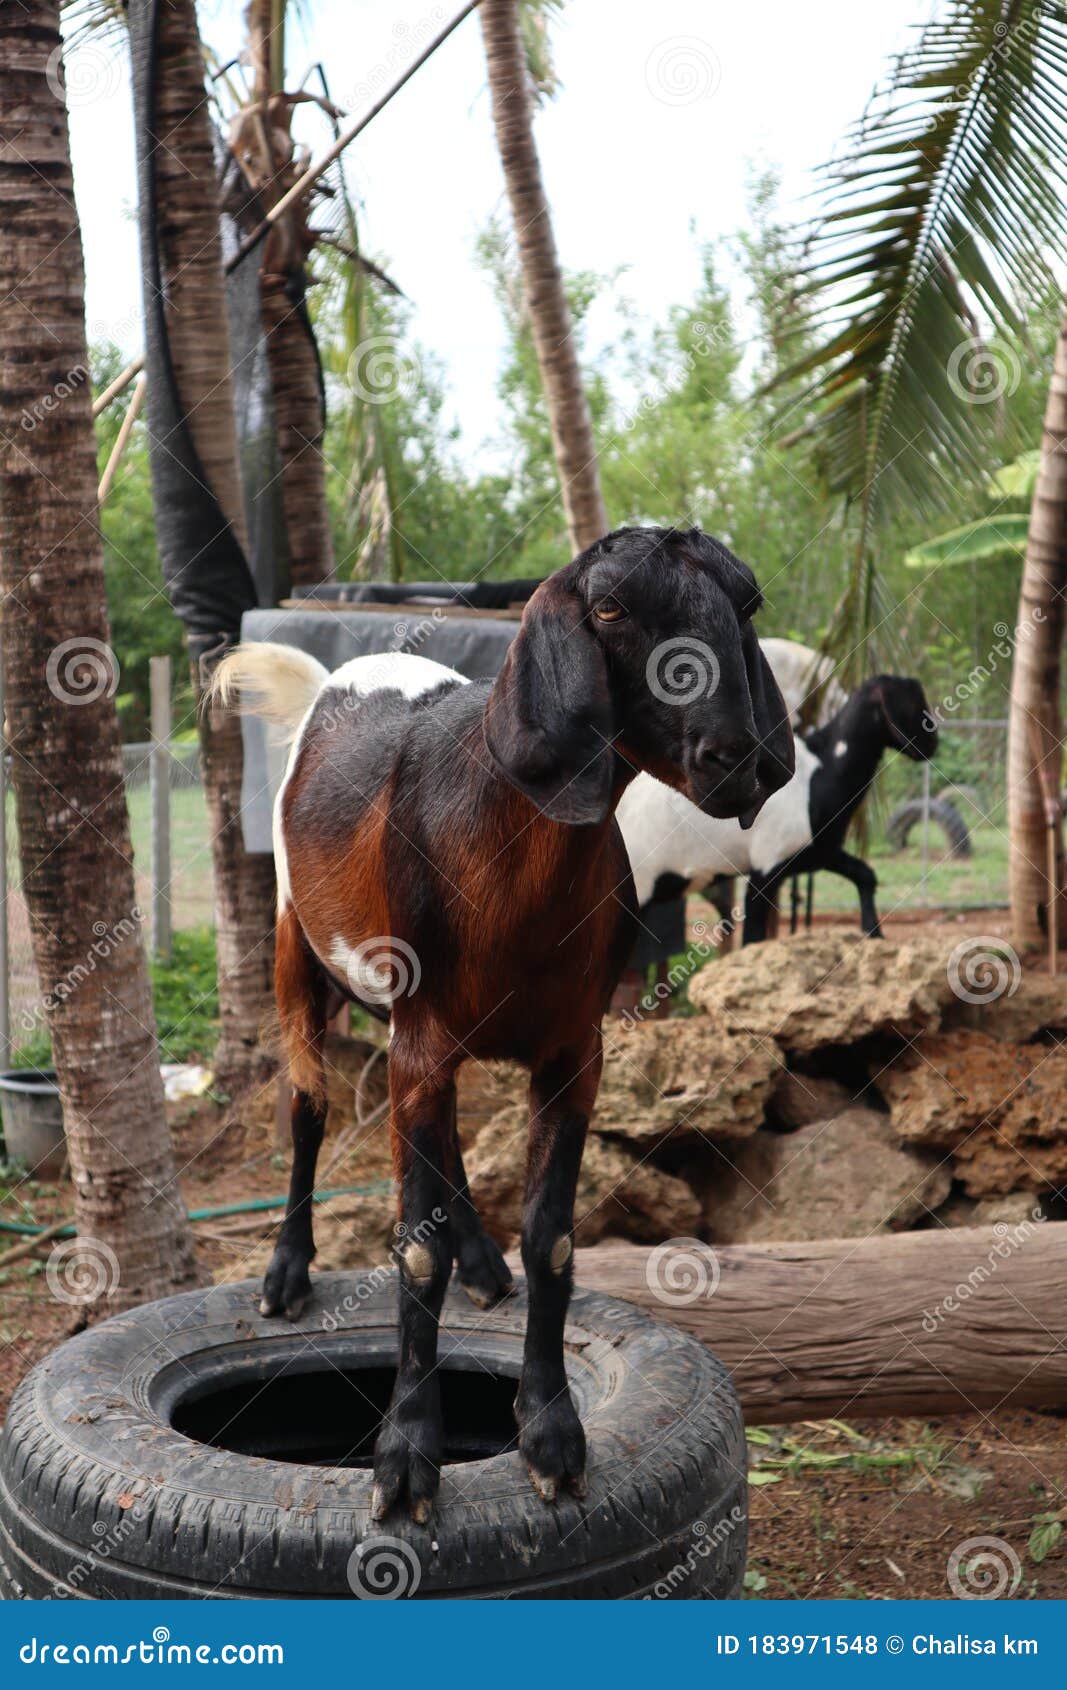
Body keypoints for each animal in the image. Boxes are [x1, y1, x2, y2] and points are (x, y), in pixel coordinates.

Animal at [211, 525, 794, 1521]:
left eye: (745, 602)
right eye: (609, 609)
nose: (737, 757)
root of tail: (339, 673)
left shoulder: (571, 1051)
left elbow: (552, 1236)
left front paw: (550, 1433)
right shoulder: (418, 1039)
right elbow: (414, 1253)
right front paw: (406, 1457)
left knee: (440, 1149)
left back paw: (482, 1264)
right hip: (300, 955)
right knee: (308, 1108)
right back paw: (286, 1272)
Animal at [617, 674, 936, 947]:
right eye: (912, 702)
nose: (931, 745)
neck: (821, 774)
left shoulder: (818, 852)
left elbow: (865, 875)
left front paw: (874, 932)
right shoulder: (766, 866)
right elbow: (753, 937)